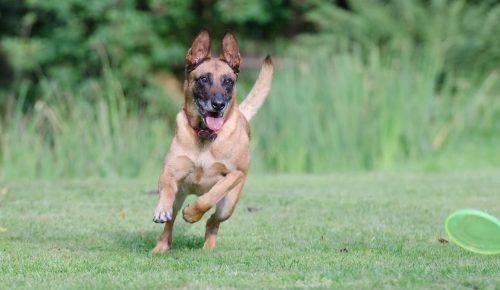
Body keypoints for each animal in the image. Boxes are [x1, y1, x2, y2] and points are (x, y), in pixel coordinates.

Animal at [152, 28, 274, 251]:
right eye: (203, 79)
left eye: (228, 81)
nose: (218, 104)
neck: (205, 136)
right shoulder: (170, 171)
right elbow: (166, 188)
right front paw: (161, 209)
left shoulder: (235, 174)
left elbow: (211, 195)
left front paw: (192, 213)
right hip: (180, 196)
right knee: (170, 222)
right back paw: (161, 247)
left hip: (228, 206)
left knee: (212, 220)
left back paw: (208, 245)